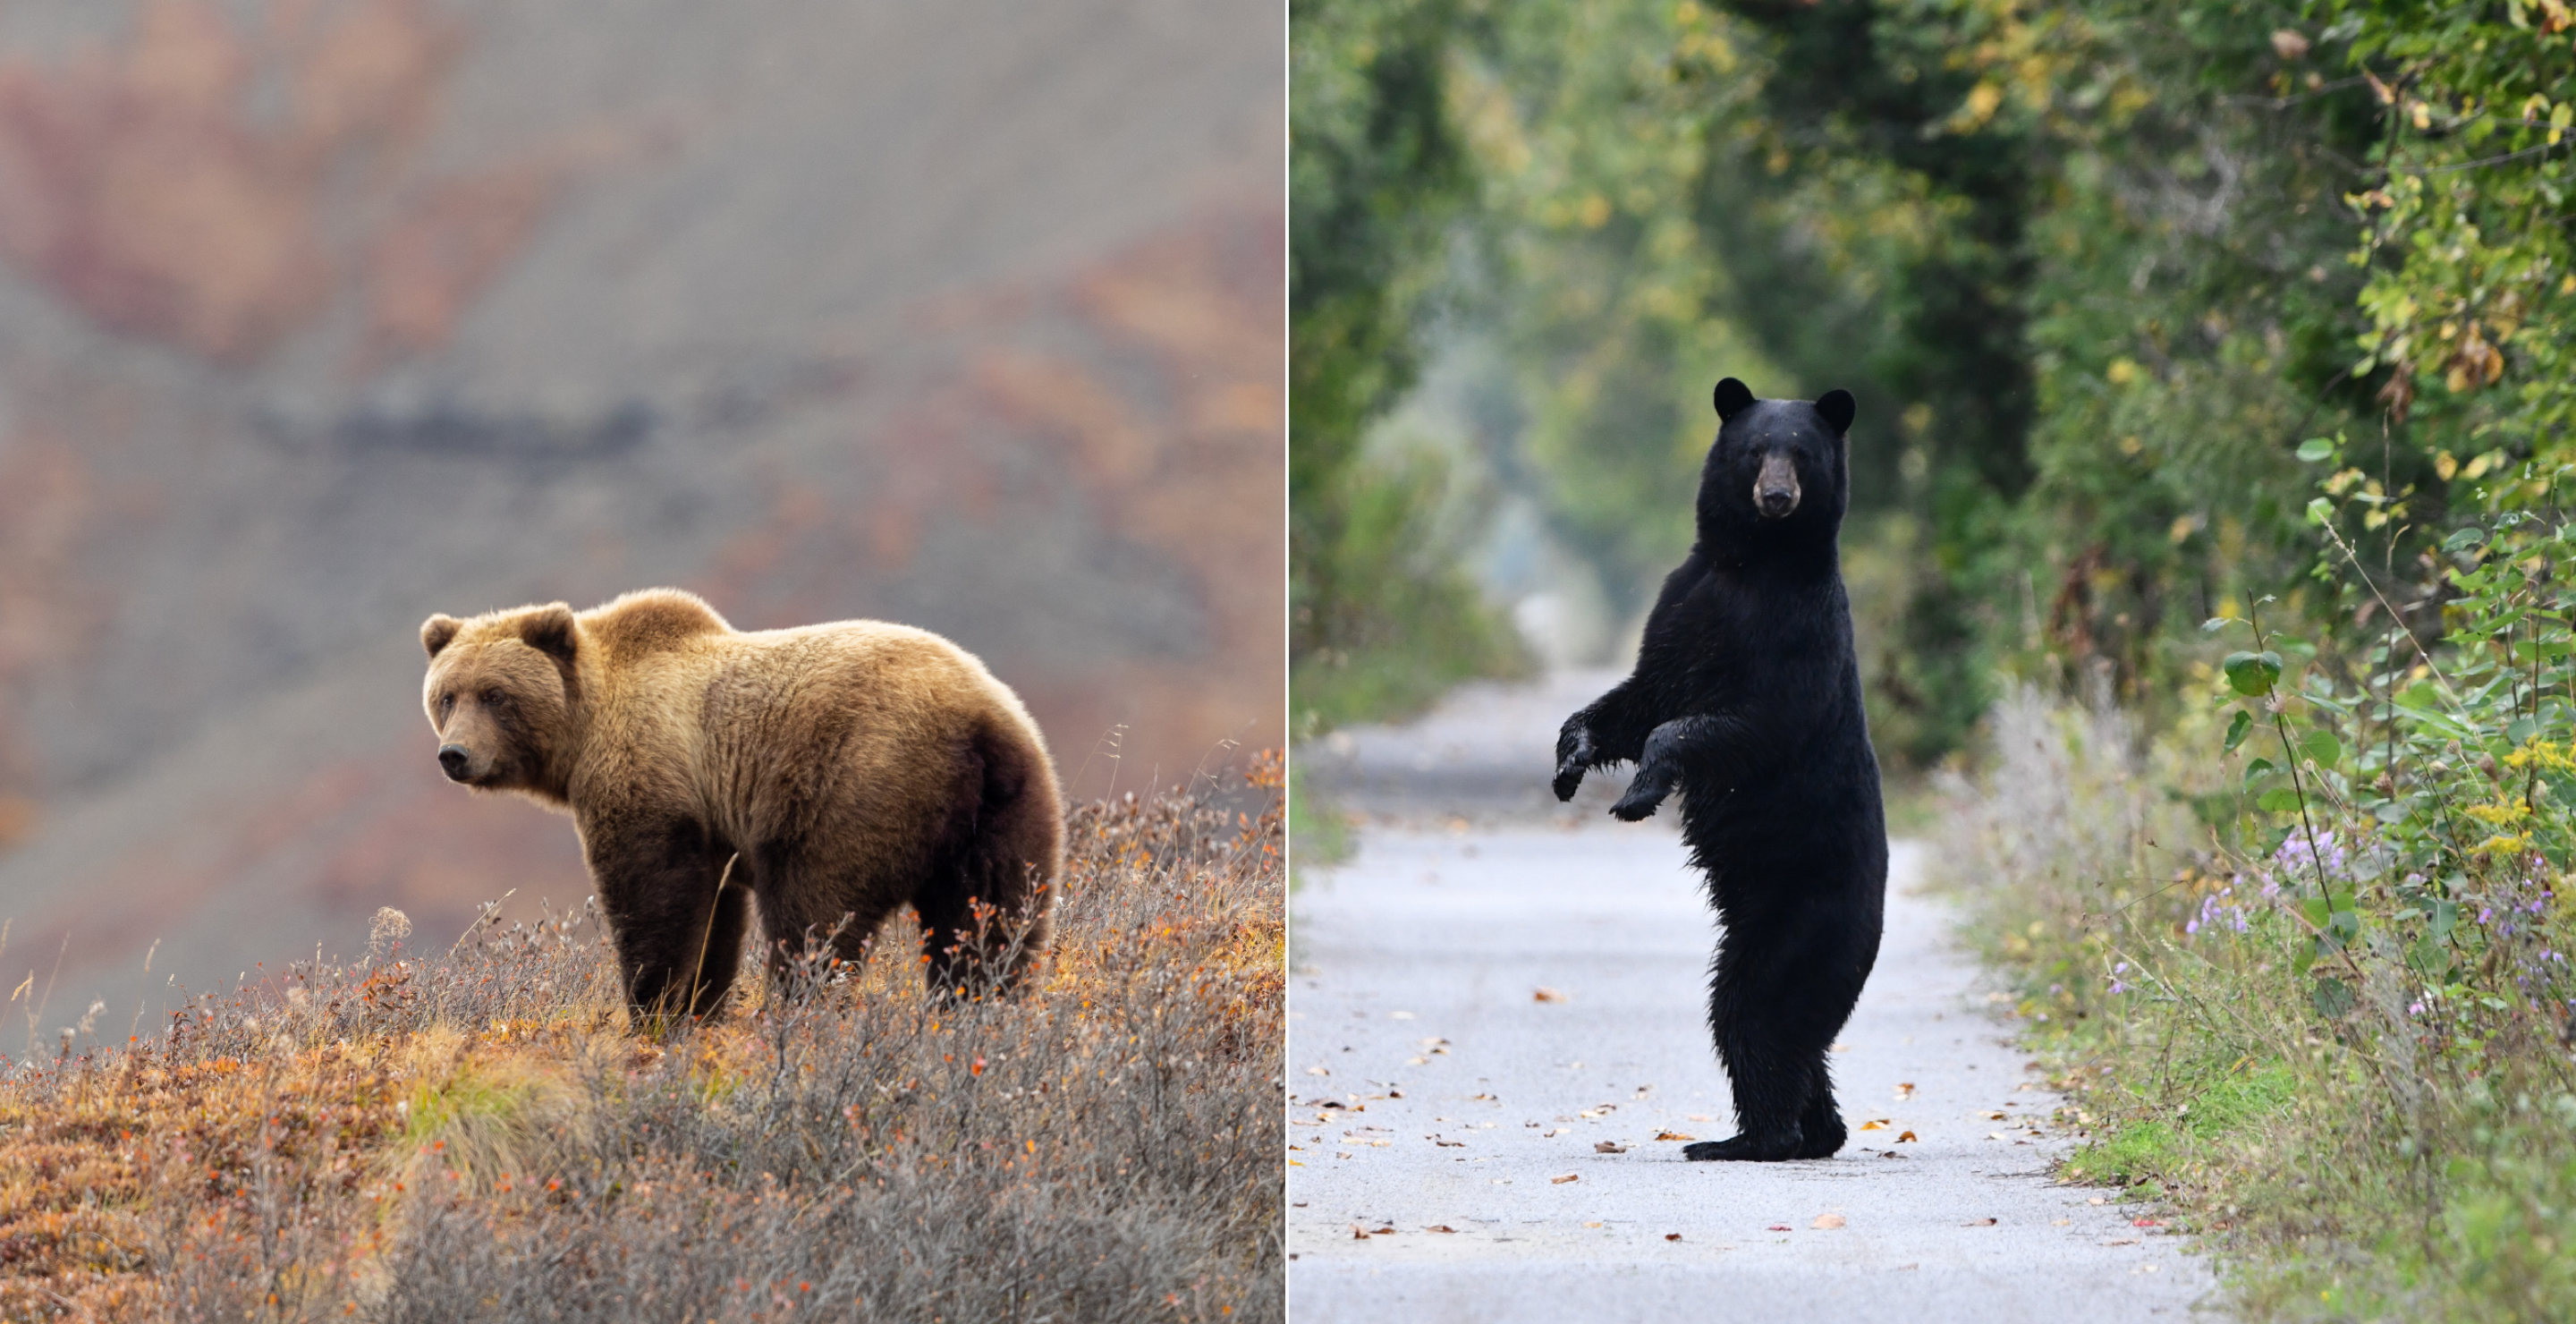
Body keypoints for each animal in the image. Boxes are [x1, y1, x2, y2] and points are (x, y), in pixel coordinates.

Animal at [417, 581, 1061, 1014]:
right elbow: (715, 919)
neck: (586, 726)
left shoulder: (652, 778)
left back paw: (798, 1009)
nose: (455, 755)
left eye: (496, 695)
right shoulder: (710, 827)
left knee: (814, 914)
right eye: (447, 695)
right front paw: (698, 1006)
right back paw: (977, 1007)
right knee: (992, 919)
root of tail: (976, 721)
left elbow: (655, 900)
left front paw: (655, 1007)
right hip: (1006, 809)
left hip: (854, 783)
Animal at [1546, 376, 1895, 1158]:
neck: (1753, 563)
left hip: (1802, 923)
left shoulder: (1796, 633)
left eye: (1801, 452)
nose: (1777, 495)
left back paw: (1749, 1139)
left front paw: (1638, 795)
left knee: (1756, 1015)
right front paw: (1571, 761)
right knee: (1789, 1038)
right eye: (1754, 449)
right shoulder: (1684, 601)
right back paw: (1816, 1131)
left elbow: (1739, 721)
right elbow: (1639, 698)